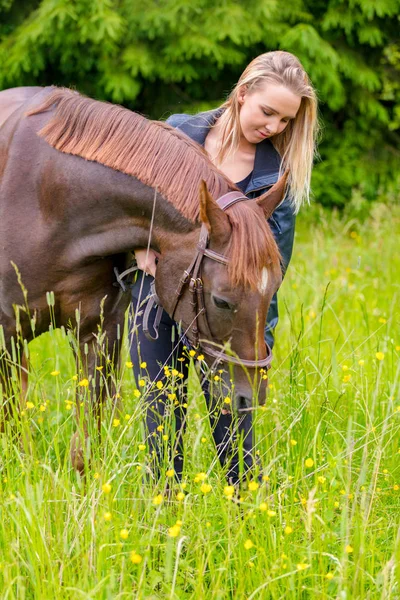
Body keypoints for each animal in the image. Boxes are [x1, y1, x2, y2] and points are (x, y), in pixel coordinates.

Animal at [0, 86, 288, 472]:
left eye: (272, 291)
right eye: (221, 300)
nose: (250, 397)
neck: (49, 199)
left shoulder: (98, 333)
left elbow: (84, 447)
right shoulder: (6, 335)